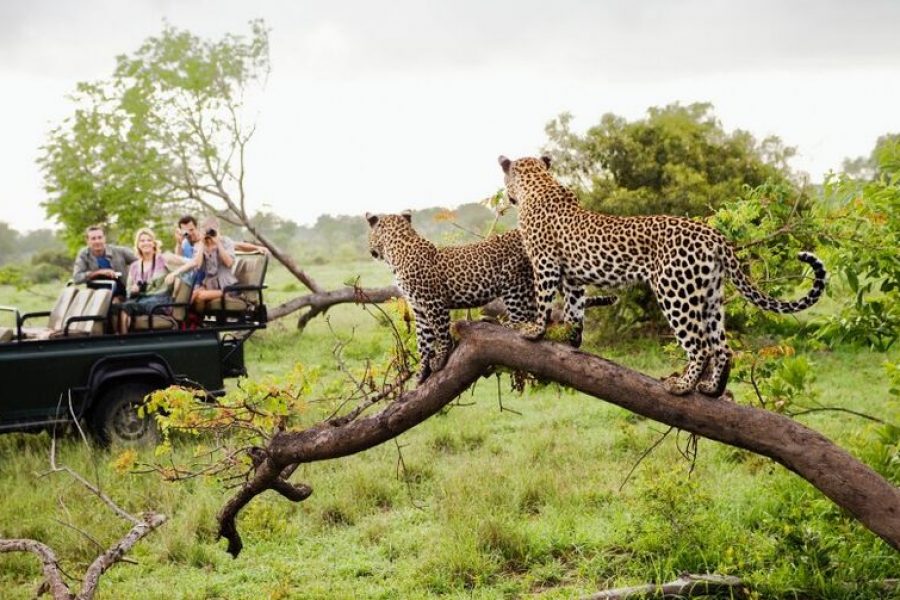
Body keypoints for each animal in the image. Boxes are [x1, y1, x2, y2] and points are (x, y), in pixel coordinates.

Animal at [370, 210, 616, 380]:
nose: (371, 250)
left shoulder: (434, 303)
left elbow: (440, 334)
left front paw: (439, 359)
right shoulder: (419, 310)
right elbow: (423, 341)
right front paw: (421, 373)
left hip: (515, 284)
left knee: (523, 320)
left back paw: (503, 324)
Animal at [496, 157, 828, 396]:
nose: (508, 197)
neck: (539, 184)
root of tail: (715, 236)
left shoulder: (545, 263)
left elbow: (543, 299)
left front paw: (534, 330)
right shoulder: (573, 277)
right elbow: (575, 309)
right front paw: (572, 339)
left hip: (675, 291)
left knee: (701, 346)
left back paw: (682, 386)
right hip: (710, 295)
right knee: (722, 347)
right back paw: (711, 389)